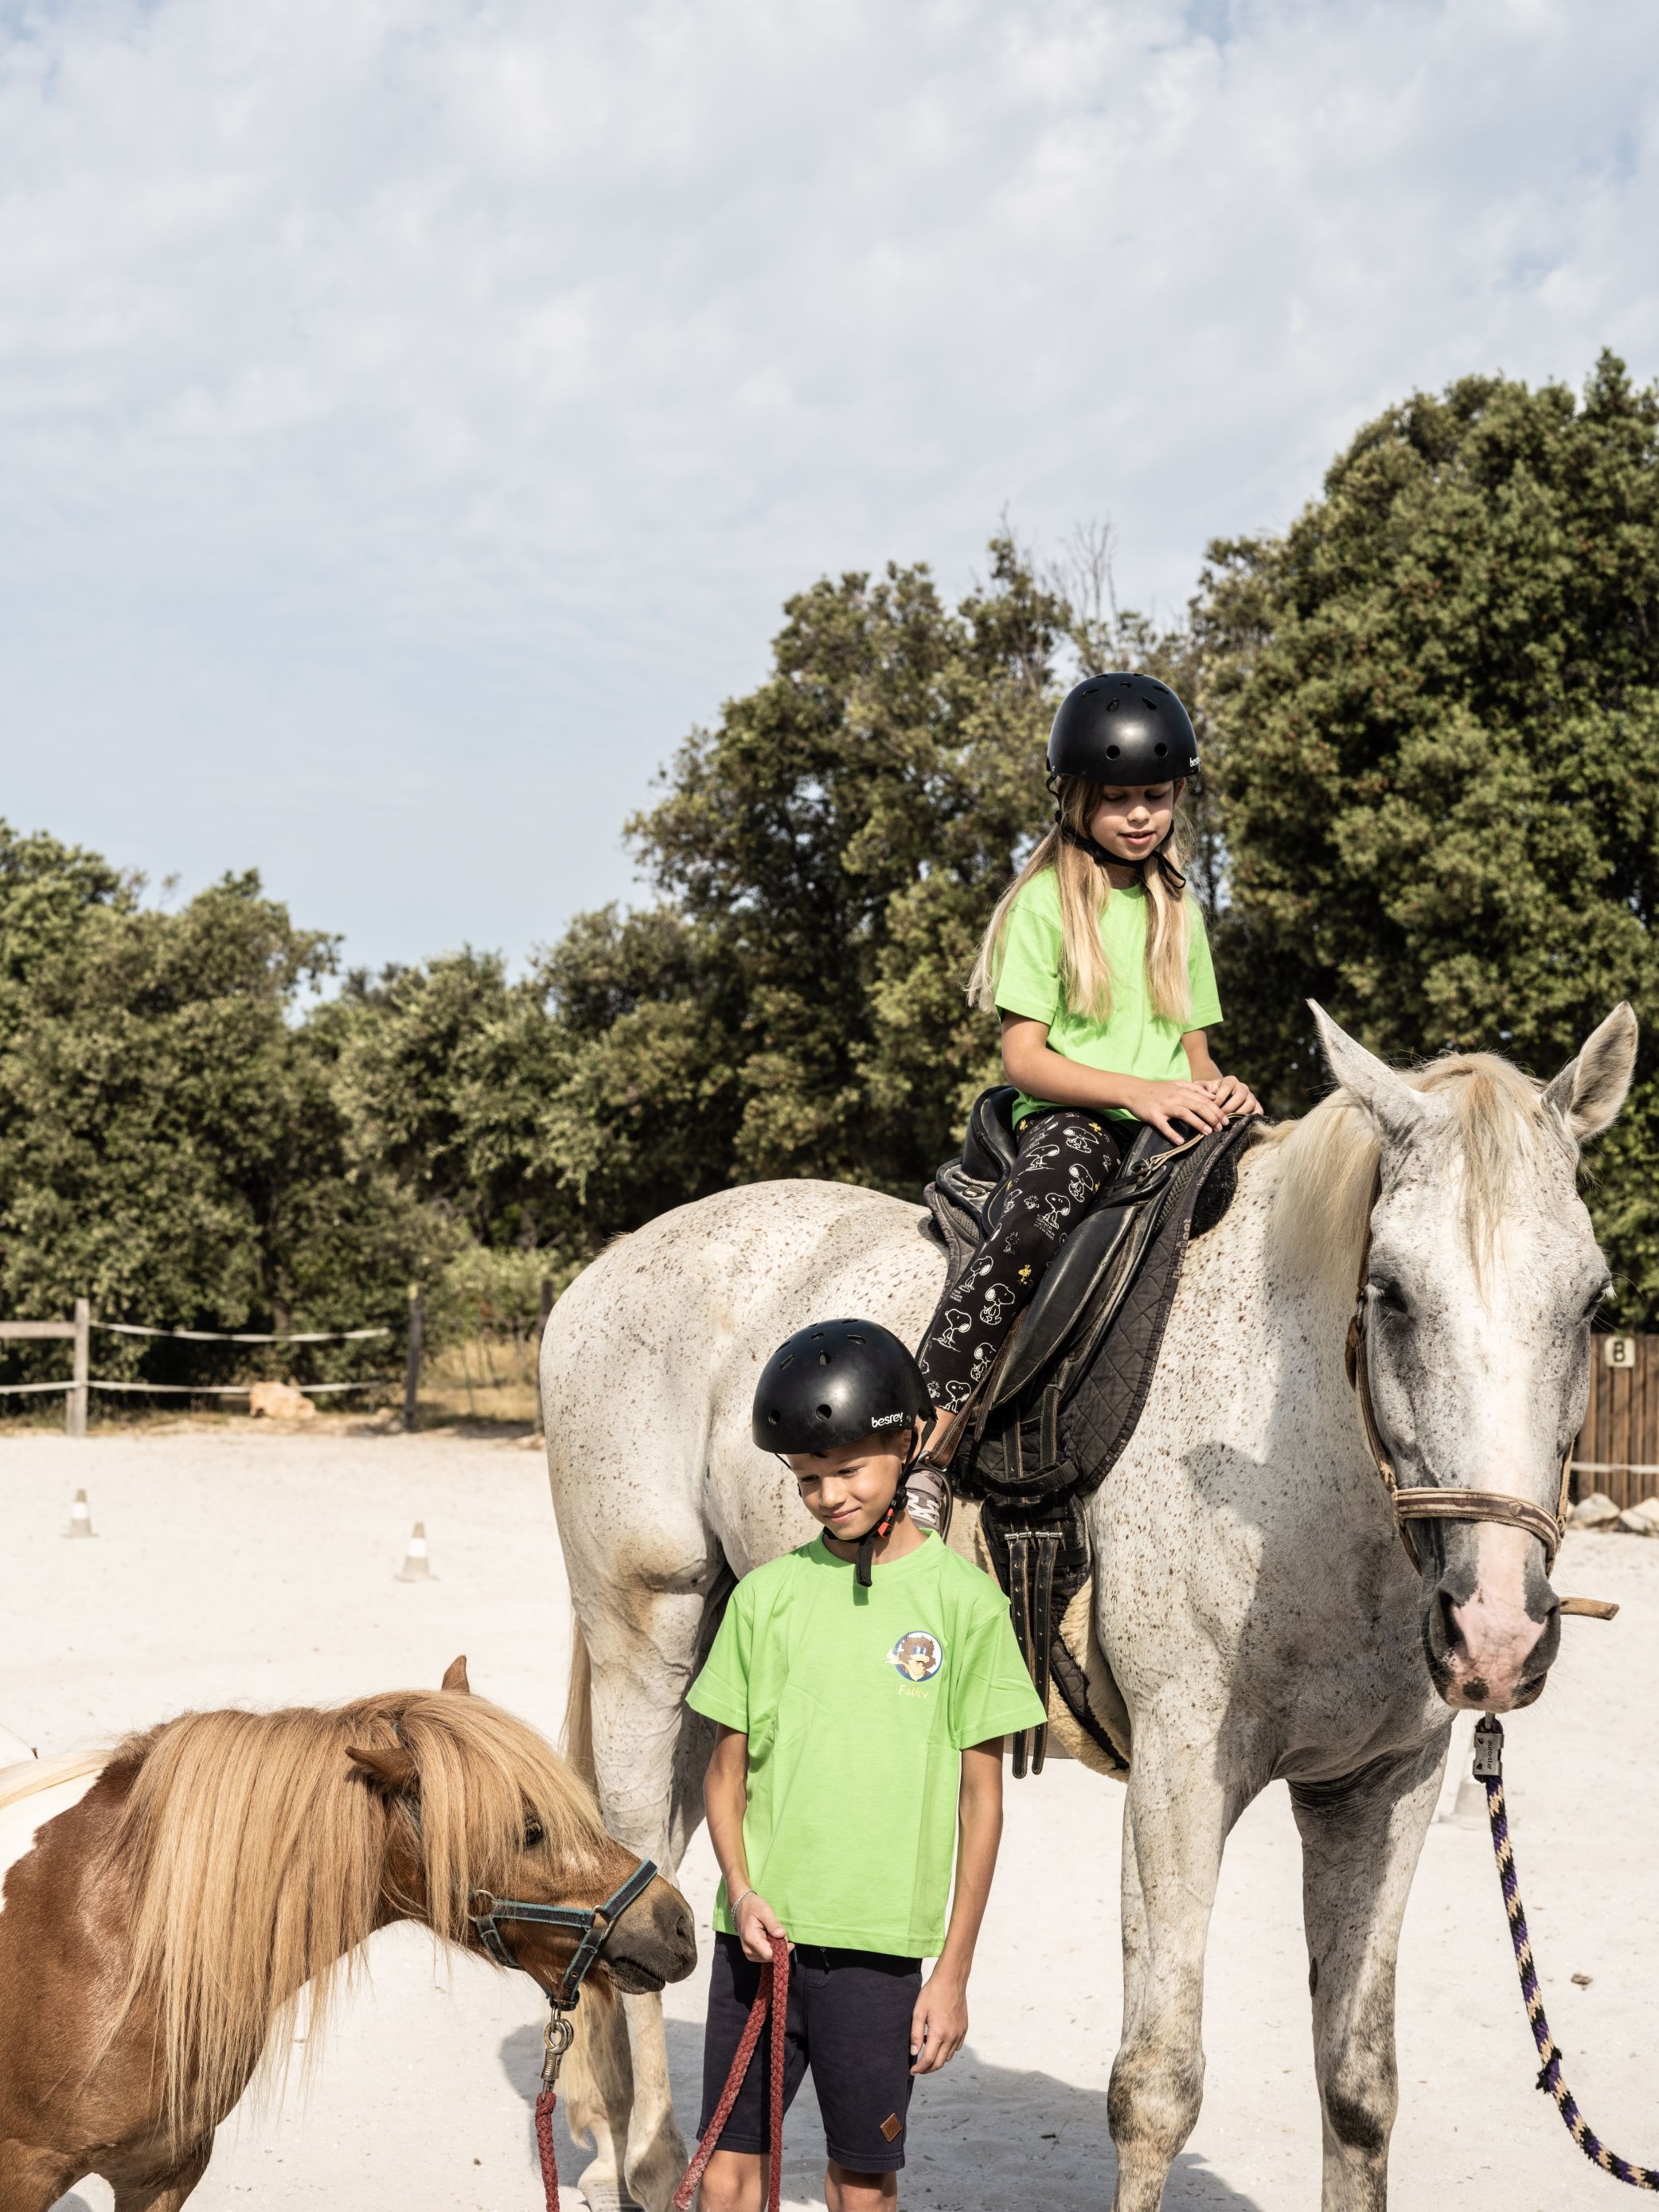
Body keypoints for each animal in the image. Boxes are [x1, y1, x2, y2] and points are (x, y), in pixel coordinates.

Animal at [541, 1008, 1637, 2212]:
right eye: (1390, 1291)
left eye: (1593, 1302)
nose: (1495, 1633)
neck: (1296, 1448)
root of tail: (608, 1270)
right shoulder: (1178, 1772)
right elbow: (1155, 2086)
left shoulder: (1382, 1786)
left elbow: (1358, 2088)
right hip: (647, 1632)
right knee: (639, 1865)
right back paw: (645, 2162)